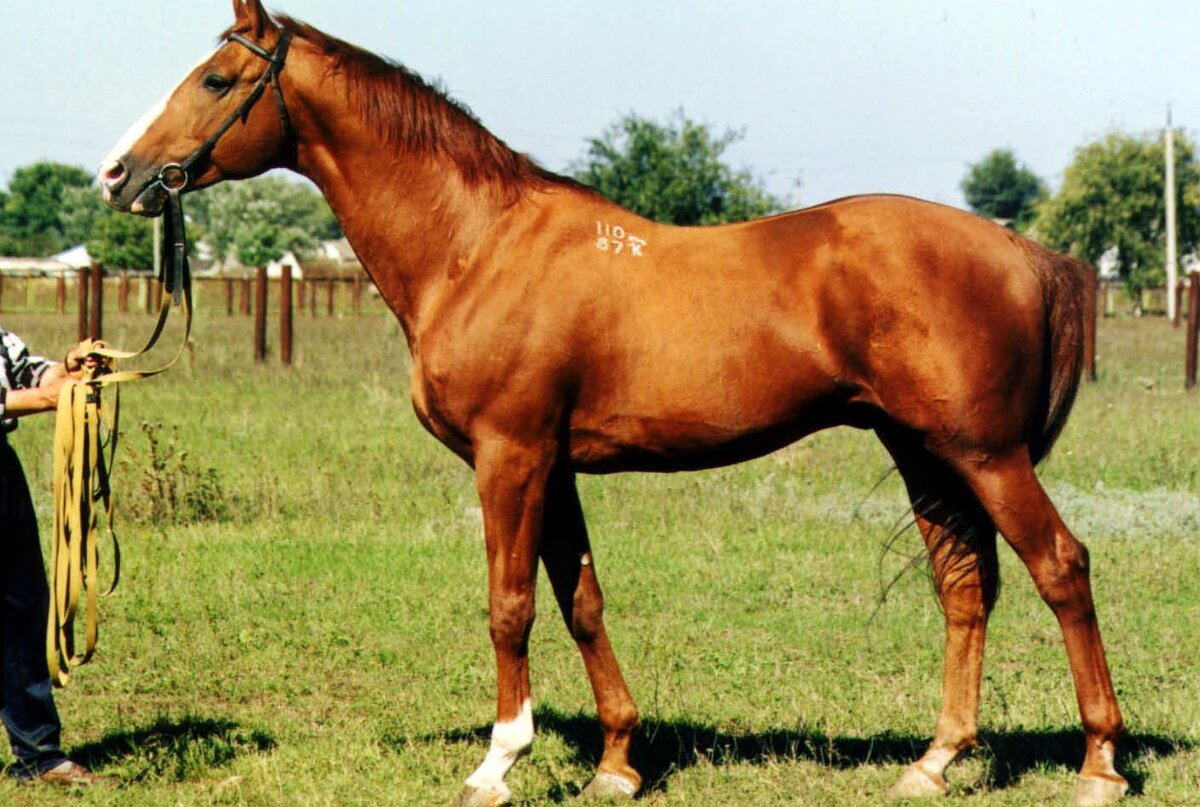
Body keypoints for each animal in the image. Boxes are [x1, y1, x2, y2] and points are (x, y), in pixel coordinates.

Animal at [100, 3, 1123, 802]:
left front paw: (497, 763)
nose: (118, 175)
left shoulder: (509, 455)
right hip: (923, 450)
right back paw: (934, 761)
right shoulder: (552, 464)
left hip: (985, 454)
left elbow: (510, 603)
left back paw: (1100, 763)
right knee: (965, 587)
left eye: (217, 78)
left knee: (1061, 567)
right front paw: (618, 763)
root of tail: (1026, 251)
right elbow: (581, 598)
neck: (478, 244)